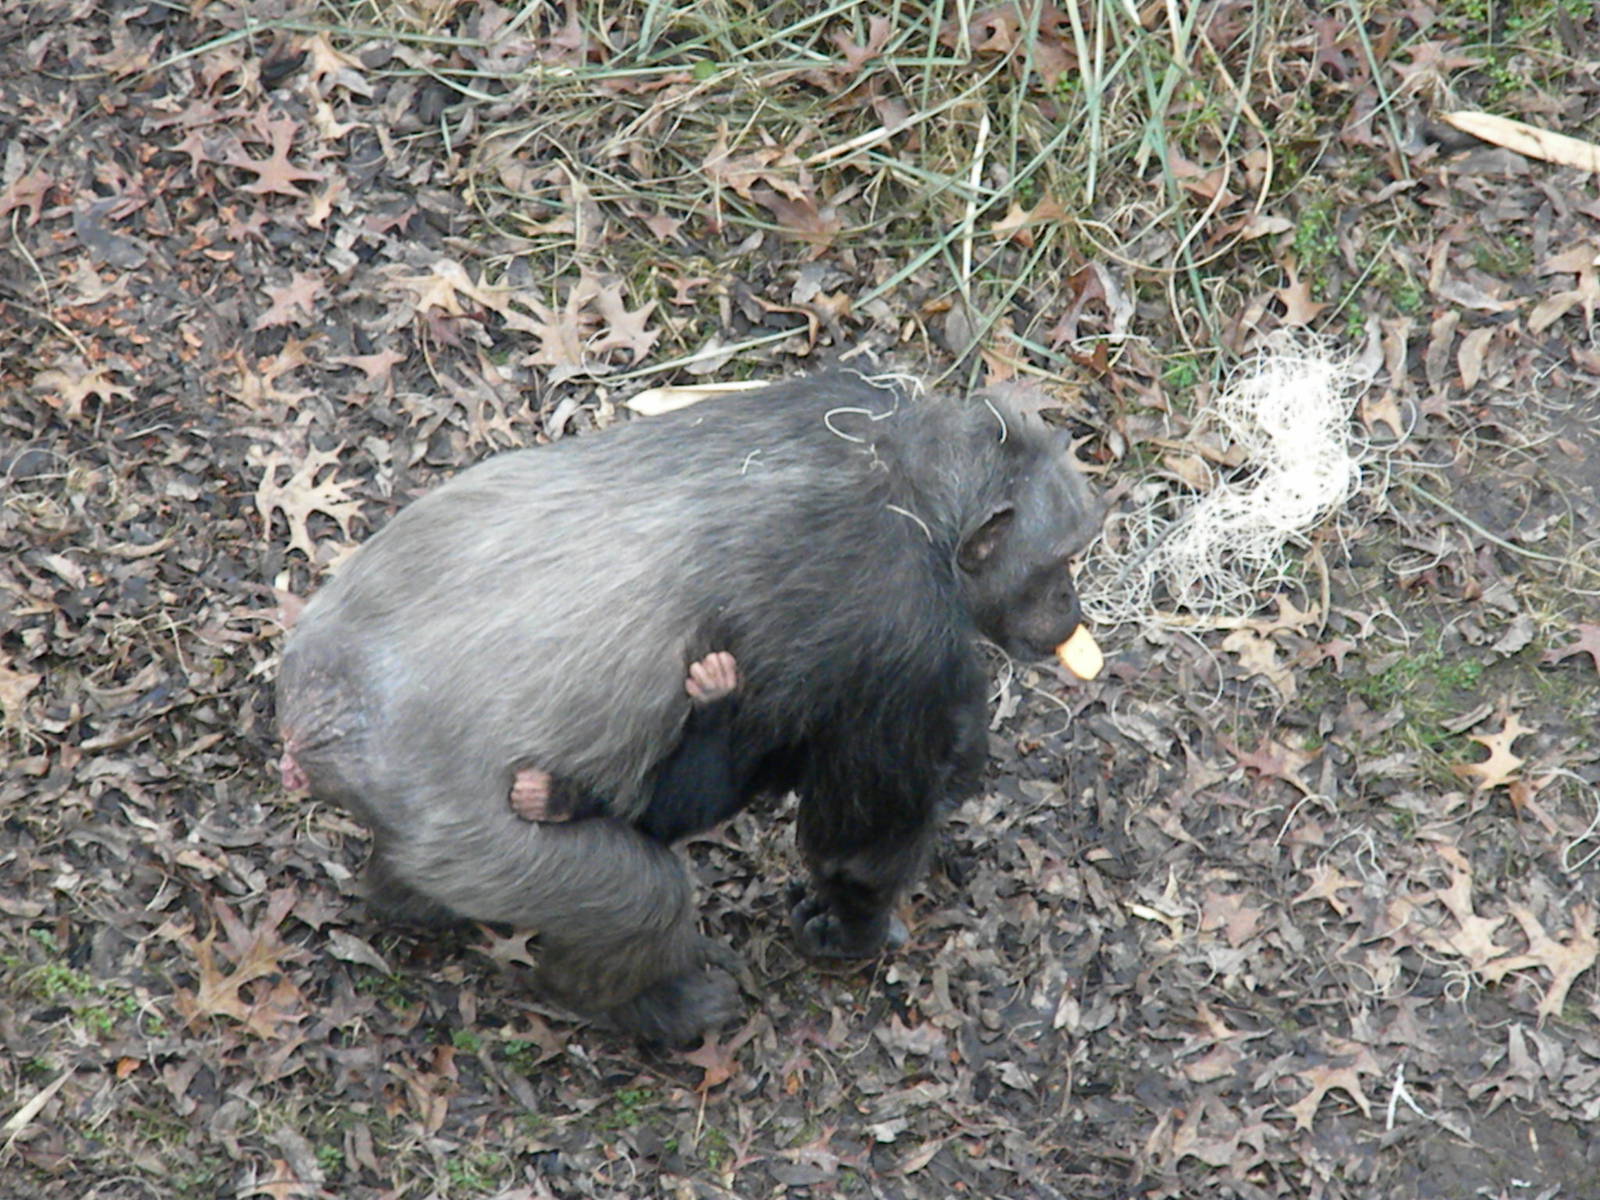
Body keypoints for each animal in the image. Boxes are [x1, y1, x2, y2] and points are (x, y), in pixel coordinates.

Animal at [277, 369, 1100, 1045]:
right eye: (1060, 558)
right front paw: (850, 925)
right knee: (635, 898)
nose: (1071, 603)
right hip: (475, 840)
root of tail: (321, 719)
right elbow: (856, 837)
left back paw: (407, 902)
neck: (912, 485)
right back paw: (649, 1007)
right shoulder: (897, 625)